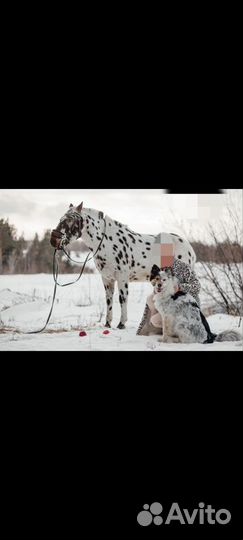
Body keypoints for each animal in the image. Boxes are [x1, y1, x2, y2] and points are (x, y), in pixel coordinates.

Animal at [50, 202, 196, 330]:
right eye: (60, 219)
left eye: (70, 220)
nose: (53, 240)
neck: (106, 242)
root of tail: (189, 248)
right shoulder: (107, 279)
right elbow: (109, 300)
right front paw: (107, 324)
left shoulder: (122, 277)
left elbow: (122, 299)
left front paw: (121, 324)